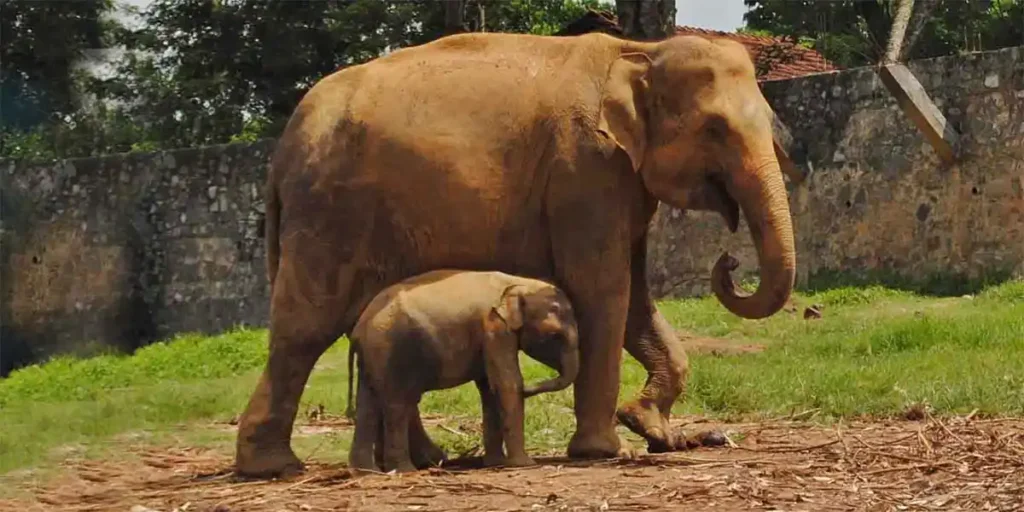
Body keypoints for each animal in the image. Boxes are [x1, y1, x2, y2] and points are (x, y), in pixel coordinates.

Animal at [348, 270, 581, 473]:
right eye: (554, 336)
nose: (529, 389)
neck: (519, 283)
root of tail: (358, 330)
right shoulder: (494, 328)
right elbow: (506, 383)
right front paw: (524, 464)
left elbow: (489, 388)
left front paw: (496, 463)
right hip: (392, 351)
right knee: (397, 405)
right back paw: (404, 471)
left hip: (374, 357)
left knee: (368, 406)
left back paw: (367, 472)